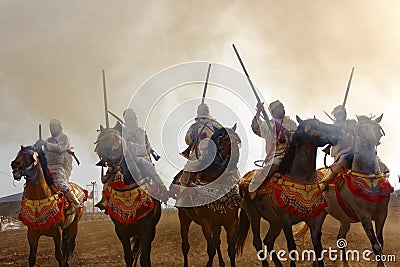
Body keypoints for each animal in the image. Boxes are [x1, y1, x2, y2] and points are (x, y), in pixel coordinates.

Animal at [94, 124, 162, 267]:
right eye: (99, 139)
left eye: (116, 137)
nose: (103, 148)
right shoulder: (121, 230)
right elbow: (129, 257)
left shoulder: (147, 229)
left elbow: (144, 259)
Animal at [170, 125, 242, 267]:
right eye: (222, 141)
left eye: (237, 141)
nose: (232, 164)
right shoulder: (206, 223)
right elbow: (211, 249)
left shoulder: (232, 223)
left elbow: (230, 250)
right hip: (184, 217)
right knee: (185, 246)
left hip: (216, 224)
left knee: (218, 242)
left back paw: (221, 263)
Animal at [236, 118, 342, 267]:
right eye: (316, 125)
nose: (338, 132)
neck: (302, 179)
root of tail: (243, 181)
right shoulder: (286, 220)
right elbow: (291, 247)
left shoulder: (314, 221)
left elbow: (318, 250)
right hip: (253, 215)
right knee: (257, 241)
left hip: (275, 222)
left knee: (268, 241)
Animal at [296, 115, 394, 267]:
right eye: (360, 132)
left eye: (377, 131)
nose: (371, 147)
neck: (369, 180)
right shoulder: (364, 216)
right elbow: (376, 245)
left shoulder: (382, 214)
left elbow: (381, 243)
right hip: (321, 213)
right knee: (317, 235)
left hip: (345, 219)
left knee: (340, 239)